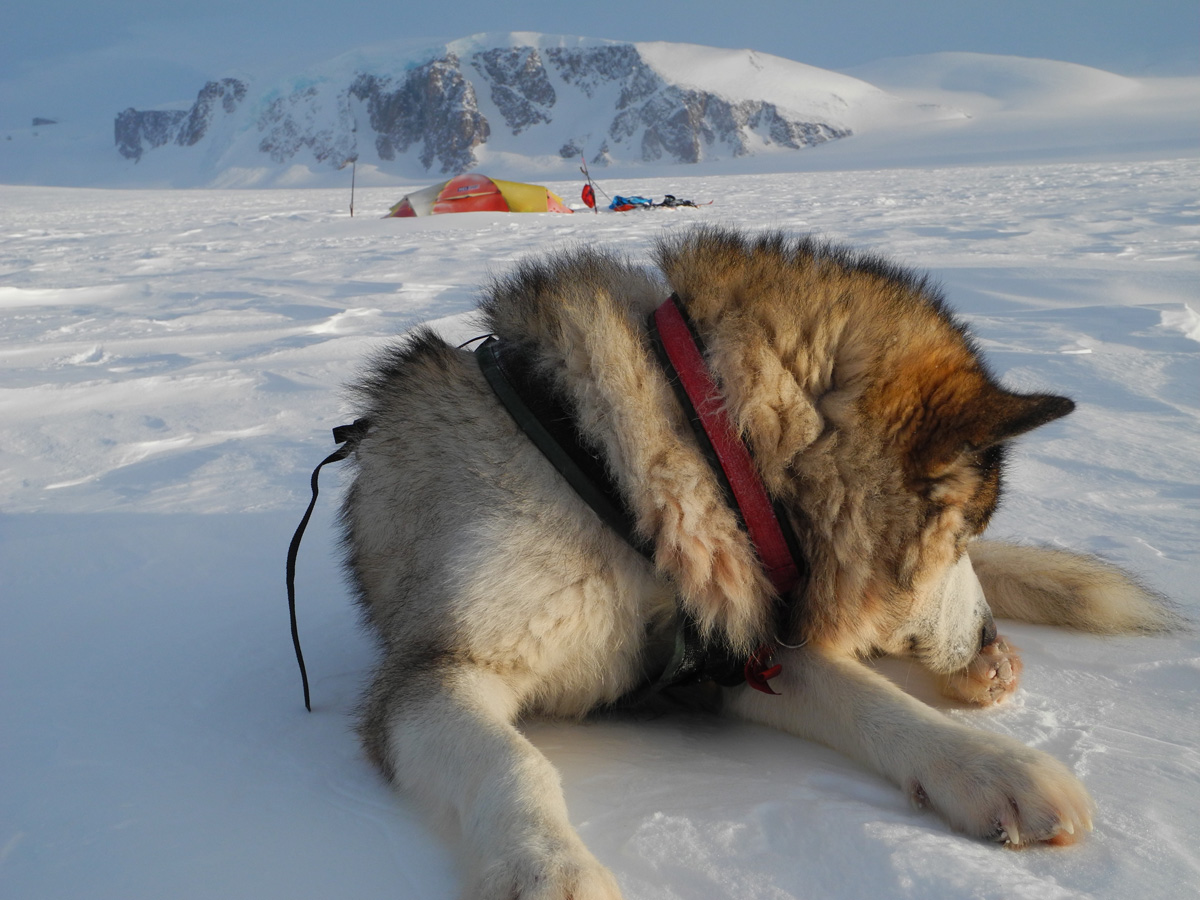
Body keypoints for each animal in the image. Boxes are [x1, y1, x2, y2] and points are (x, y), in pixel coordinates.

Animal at [340, 229, 1180, 897]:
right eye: (962, 535)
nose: (987, 638)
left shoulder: (739, 649)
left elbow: (868, 696)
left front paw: (990, 766)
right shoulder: (433, 672)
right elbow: (514, 762)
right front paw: (552, 870)